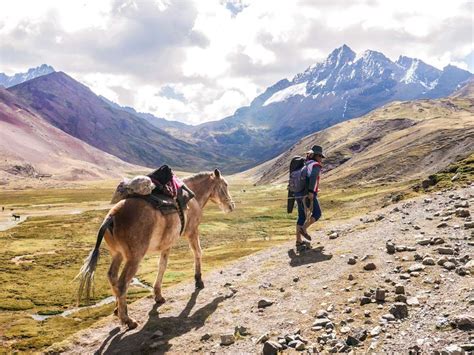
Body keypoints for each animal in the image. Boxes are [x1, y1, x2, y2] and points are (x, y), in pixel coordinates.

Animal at [75, 170, 235, 330]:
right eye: (225, 185)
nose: (231, 206)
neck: (193, 197)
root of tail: (111, 217)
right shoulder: (192, 232)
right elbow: (197, 252)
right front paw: (199, 280)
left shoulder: (167, 245)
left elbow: (162, 266)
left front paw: (158, 295)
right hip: (134, 258)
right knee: (122, 284)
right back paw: (128, 320)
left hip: (117, 254)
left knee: (112, 276)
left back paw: (117, 309)